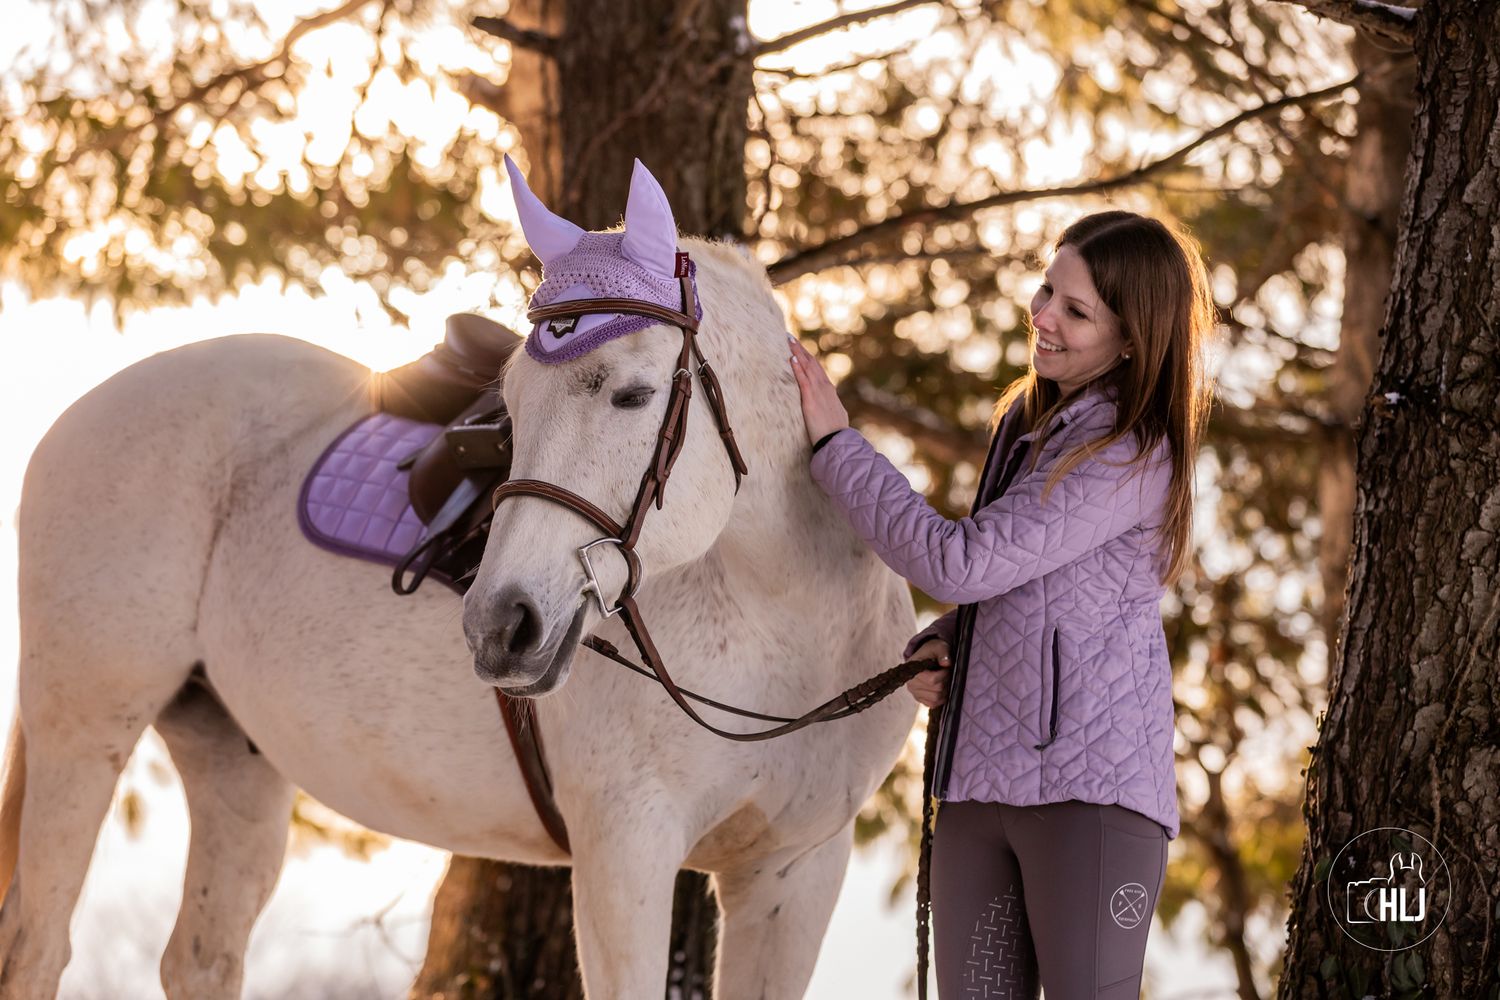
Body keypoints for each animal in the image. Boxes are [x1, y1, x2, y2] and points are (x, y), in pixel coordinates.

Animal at [0, 162, 919, 999]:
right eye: (509, 399)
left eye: (631, 394)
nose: (499, 625)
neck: (787, 628)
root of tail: (80, 412)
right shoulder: (626, 852)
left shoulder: (794, 872)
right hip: (85, 727)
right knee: (37, 947)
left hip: (232, 755)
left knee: (200, 959)